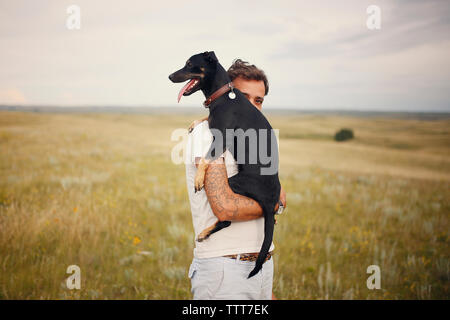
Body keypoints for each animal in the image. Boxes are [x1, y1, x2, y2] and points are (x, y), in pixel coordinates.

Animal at [169, 50, 282, 278]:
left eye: (189, 64)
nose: (169, 76)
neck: (223, 95)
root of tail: (270, 202)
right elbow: (206, 117)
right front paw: (195, 122)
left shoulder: (221, 139)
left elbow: (205, 157)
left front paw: (198, 179)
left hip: (233, 184)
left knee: (227, 220)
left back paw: (204, 232)